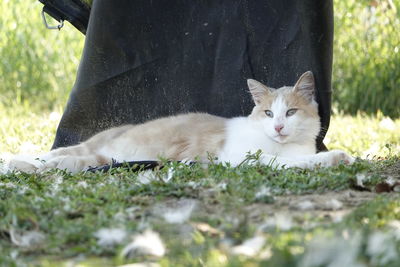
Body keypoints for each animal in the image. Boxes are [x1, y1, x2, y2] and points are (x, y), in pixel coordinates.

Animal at [8, 71, 354, 175]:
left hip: (100, 156)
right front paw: (333, 158)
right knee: (49, 158)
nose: (279, 127)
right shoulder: (239, 157)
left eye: (290, 113)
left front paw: (335, 157)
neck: (285, 145)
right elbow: (282, 162)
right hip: (93, 151)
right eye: (269, 114)